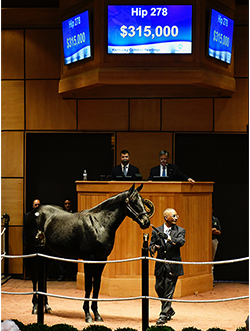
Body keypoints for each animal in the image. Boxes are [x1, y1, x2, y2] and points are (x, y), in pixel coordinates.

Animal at [24, 183, 150, 322]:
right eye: (133, 200)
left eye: (142, 200)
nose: (146, 222)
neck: (99, 224)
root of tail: (34, 212)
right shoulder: (89, 259)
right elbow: (89, 285)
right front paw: (88, 315)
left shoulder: (102, 260)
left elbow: (97, 285)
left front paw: (97, 314)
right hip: (34, 253)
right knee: (35, 277)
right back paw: (35, 307)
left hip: (49, 255)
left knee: (43, 277)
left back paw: (46, 306)